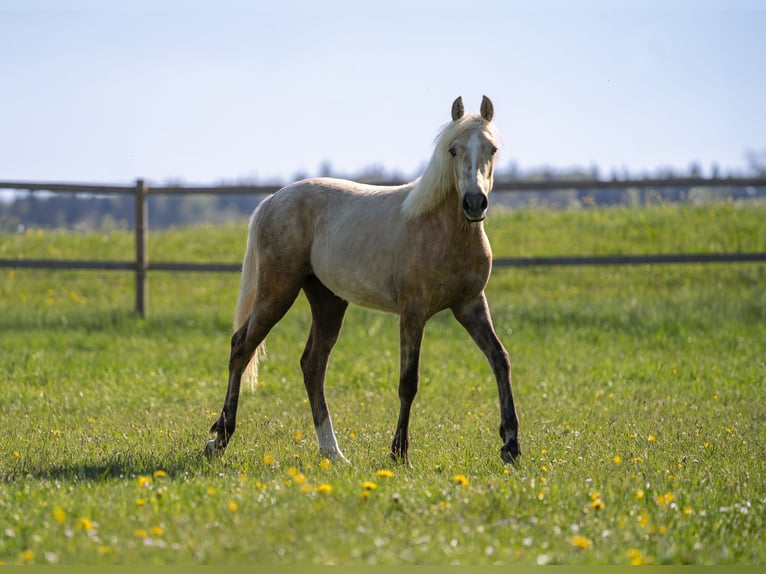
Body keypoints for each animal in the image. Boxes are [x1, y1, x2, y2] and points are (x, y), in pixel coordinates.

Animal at [207, 94, 524, 464]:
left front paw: (511, 445)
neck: (440, 228)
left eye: (492, 149)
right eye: (452, 150)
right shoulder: (413, 313)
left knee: (312, 365)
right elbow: (408, 381)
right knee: (241, 347)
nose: (474, 202)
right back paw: (220, 438)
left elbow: (500, 359)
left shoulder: (470, 305)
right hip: (277, 292)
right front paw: (399, 452)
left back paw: (333, 452)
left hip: (328, 302)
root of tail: (272, 200)